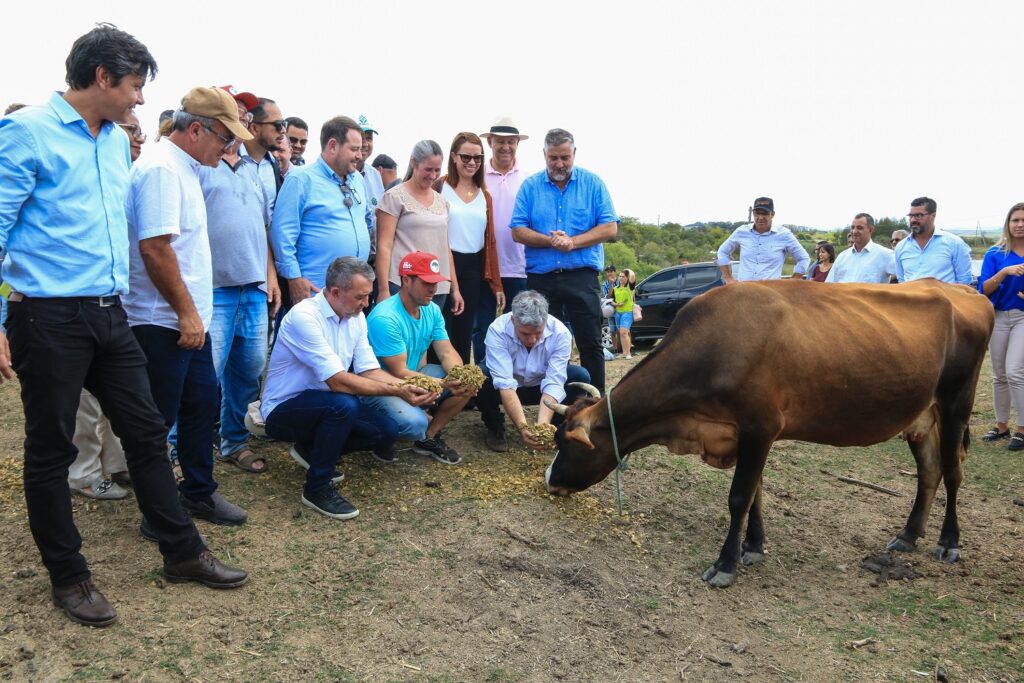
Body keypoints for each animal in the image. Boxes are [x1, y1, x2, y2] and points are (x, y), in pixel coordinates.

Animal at [544, 278, 991, 589]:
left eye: (565, 442)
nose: (550, 481)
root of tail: (963, 291)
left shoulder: (760, 428)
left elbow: (740, 496)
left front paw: (725, 564)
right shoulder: (744, 434)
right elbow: (756, 492)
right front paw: (753, 546)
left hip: (956, 404)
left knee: (953, 472)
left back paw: (949, 541)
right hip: (922, 417)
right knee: (929, 472)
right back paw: (908, 534)